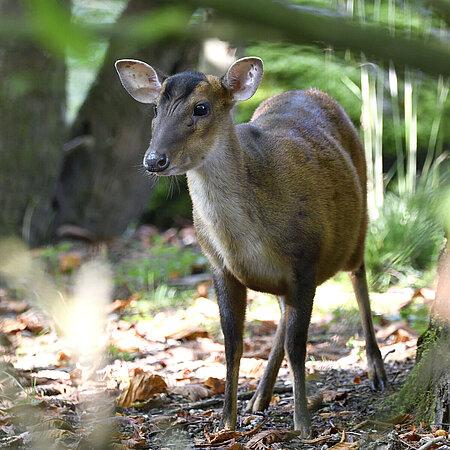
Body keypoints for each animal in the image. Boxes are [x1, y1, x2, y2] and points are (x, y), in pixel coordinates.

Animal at [116, 56, 386, 436]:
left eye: (201, 108)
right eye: (155, 107)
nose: (155, 160)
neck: (244, 240)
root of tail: (311, 91)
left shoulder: (306, 258)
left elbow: (297, 345)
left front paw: (304, 424)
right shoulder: (219, 266)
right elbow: (232, 344)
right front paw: (226, 423)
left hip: (357, 223)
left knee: (359, 276)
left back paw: (377, 371)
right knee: (283, 314)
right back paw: (259, 396)